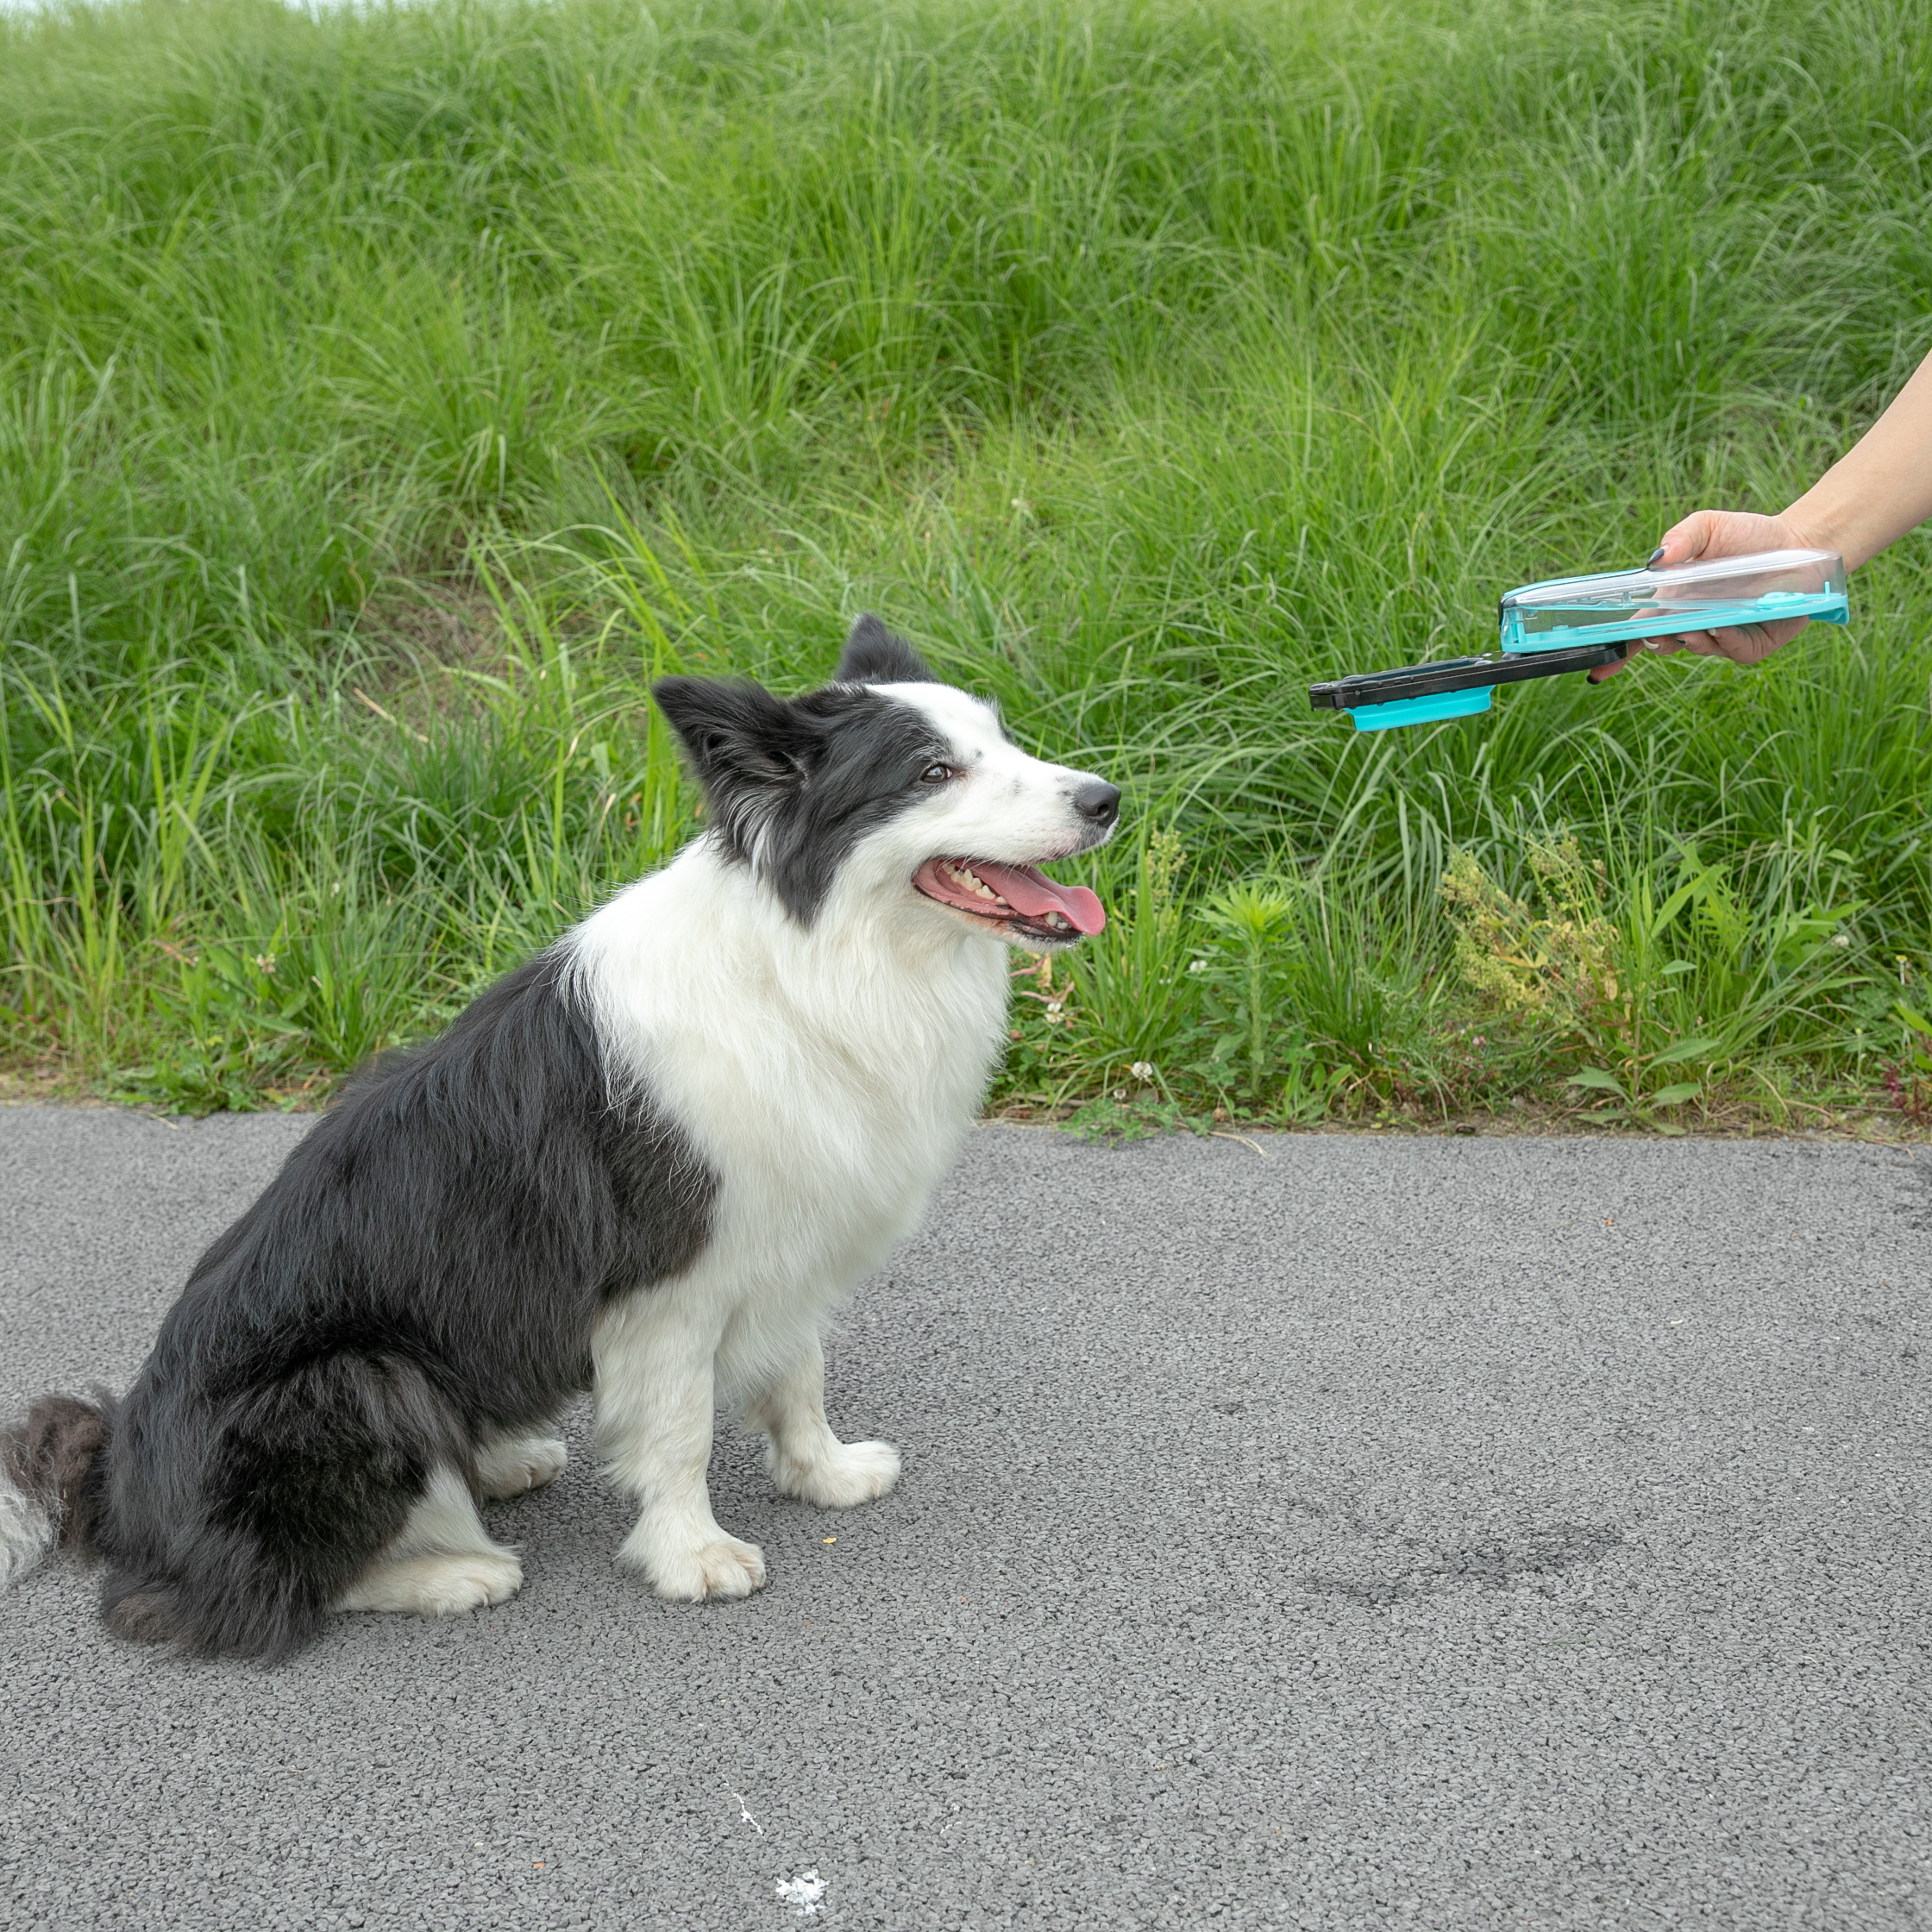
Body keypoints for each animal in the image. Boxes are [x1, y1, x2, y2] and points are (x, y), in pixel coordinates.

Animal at [0, 618, 1120, 1661]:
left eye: (1000, 738)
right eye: (932, 772)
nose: (1105, 798)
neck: (811, 956)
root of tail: (121, 1477)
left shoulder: (781, 1230)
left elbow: (796, 1369)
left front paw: (825, 1474)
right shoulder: (667, 1284)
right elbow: (679, 1431)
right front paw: (690, 1554)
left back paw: (496, 1460)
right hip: (359, 1380)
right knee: (244, 1592)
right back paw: (452, 1570)